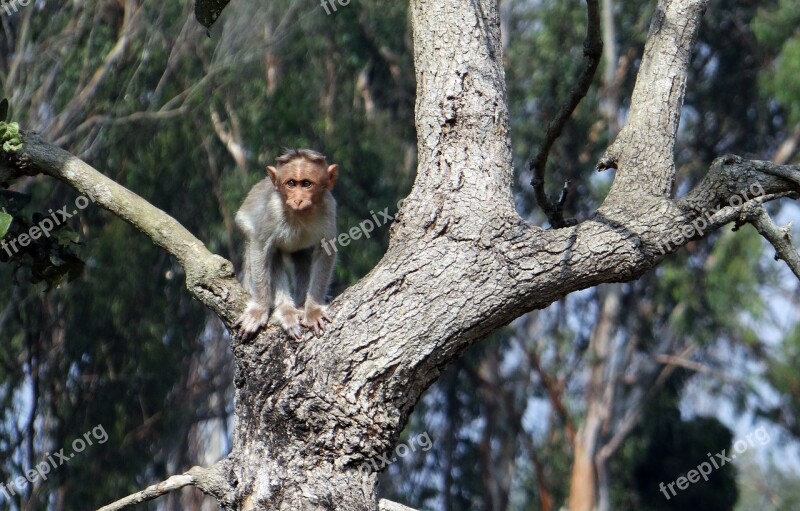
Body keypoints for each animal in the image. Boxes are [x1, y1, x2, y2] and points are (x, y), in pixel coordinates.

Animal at [236, 150, 340, 338]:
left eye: (306, 184)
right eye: (291, 183)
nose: (297, 200)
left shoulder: (329, 207)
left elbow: (325, 251)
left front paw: (313, 310)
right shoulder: (273, 210)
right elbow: (260, 247)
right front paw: (259, 309)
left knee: (303, 257)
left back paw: (300, 304)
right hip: (244, 223)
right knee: (273, 253)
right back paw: (287, 310)